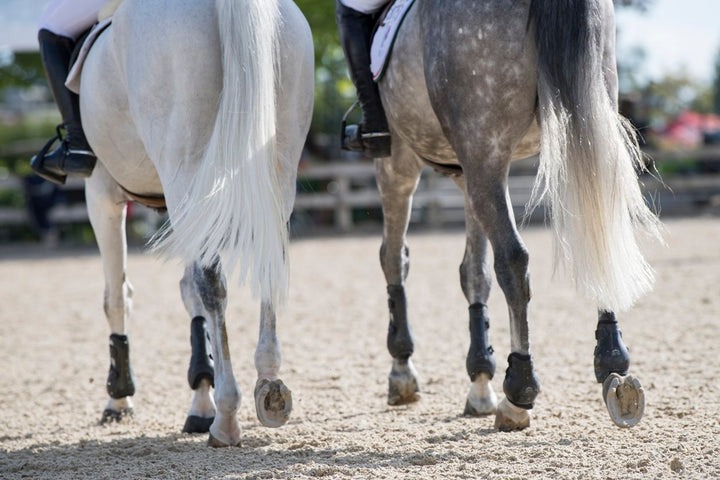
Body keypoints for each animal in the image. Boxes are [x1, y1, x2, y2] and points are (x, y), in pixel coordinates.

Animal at [76, 0, 314, 446]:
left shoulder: (101, 194)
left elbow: (116, 295)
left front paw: (120, 397)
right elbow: (189, 295)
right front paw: (199, 399)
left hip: (183, 167)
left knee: (211, 282)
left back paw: (227, 415)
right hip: (275, 167)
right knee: (266, 263)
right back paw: (269, 386)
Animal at [373, 0, 661, 430]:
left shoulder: (400, 162)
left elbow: (396, 259)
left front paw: (403, 369)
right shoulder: (467, 172)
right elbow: (474, 272)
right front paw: (479, 380)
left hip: (479, 149)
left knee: (513, 260)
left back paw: (519, 389)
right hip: (579, 121)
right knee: (598, 231)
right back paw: (613, 368)